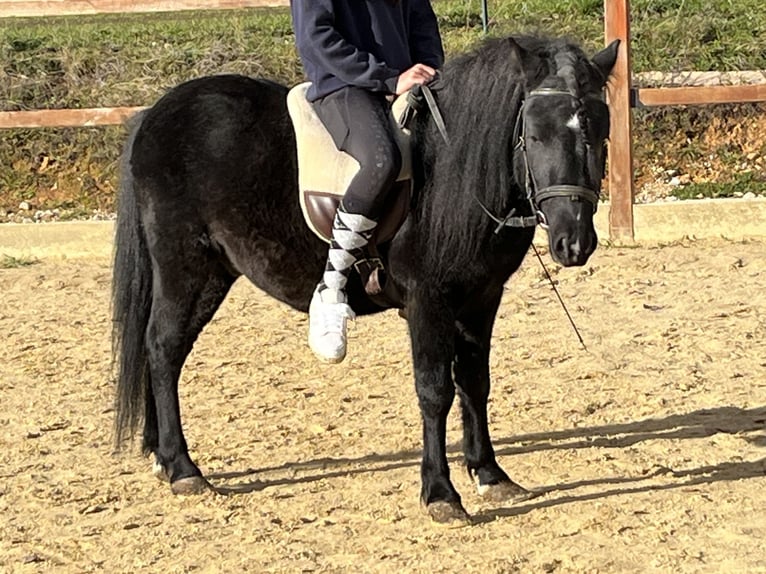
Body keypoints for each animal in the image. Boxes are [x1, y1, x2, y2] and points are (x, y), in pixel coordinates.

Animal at [112, 34, 619, 525]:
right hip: (187, 267)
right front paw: (441, 494)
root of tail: (155, 114)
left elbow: (475, 382)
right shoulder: (428, 302)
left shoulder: (481, 298)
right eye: (534, 133)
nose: (574, 242)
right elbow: (434, 390)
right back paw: (182, 467)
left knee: (164, 350)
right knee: (163, 348)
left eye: (600, 130)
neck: (453, 170)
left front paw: (491, 475)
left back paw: (161, 457)